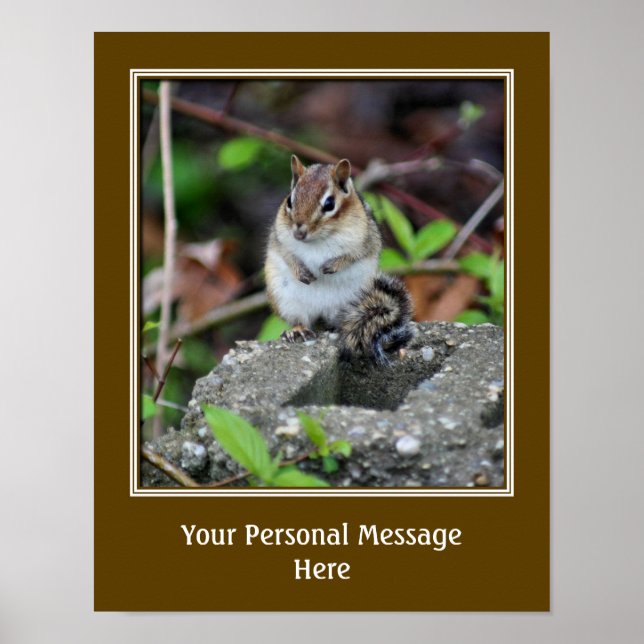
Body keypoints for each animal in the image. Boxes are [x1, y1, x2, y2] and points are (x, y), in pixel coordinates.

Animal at [264, 155, 414, 365]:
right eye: (289, 201)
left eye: (329, 204)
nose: (299, 232)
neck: (318, 240)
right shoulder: (278, 238)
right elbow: (286, 254)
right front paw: (301, 271)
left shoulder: (366, 240)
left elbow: (354, 254)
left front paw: (332, 266)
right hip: (286, 301)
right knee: (301, 320)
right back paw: (298, 331)